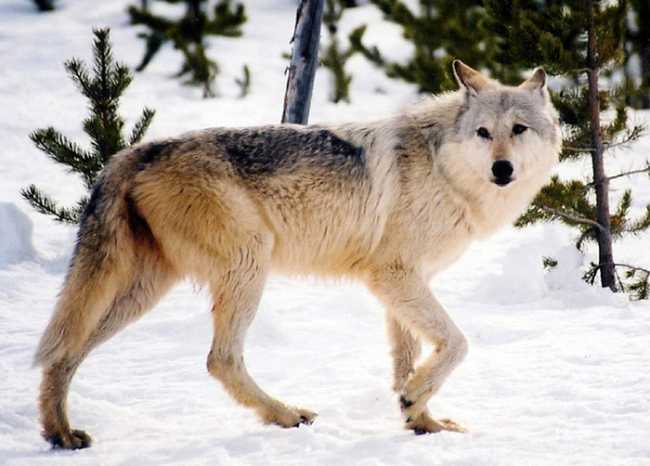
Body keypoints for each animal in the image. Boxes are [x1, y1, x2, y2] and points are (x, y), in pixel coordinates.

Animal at [34, 61, 560, 448]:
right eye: (483, 132)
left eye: (519, 129)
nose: (502, 169)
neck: (443, 168)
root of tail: (134, 152)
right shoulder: (392, 276)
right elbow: (456, 343)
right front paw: (414, 403)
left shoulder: (404, 284)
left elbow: (408, 361)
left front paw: (422, 421)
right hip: (248, 266)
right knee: (219, 360)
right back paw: (285, 415)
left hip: (144, 291)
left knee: (63, 353)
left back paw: (59, 433)